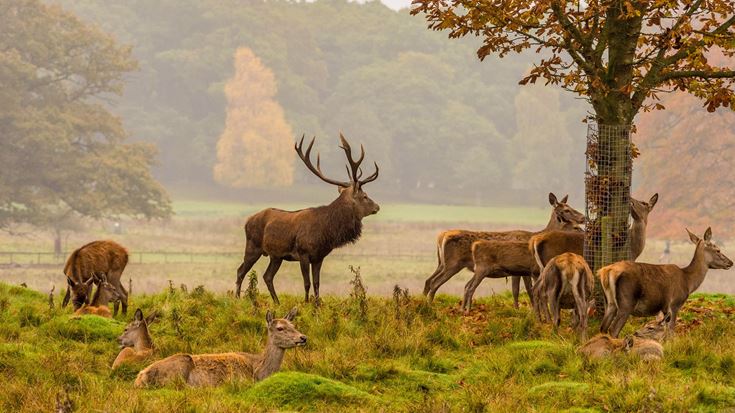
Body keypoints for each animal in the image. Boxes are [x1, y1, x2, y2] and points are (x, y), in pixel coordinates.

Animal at [134, 308, 306, 387]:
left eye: (293, 325)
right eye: (280, 328)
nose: (303, 337)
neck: (258, 371)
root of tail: (139, 377)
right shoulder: (240, 380)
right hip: (179, 368)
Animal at [234, 134, 379, 304]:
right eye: (365, 196)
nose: (377, 207)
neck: (326, 232)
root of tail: (247, 221)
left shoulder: (319, 257)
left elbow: (317, 283)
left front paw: (317, 304)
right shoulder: (303, 253)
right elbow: (307, 282)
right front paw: (306, 303)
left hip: (276, 256)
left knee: (267, 276)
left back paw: (277, 302)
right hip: (253, 246)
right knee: (241, 270)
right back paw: (236, 298)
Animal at [424, 193, 585, 307]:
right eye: (567, 210)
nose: (583, 218)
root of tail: (441, 236)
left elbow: (519, 290)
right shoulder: (526, 269)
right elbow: (524, 291)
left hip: (442, 263)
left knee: (428, 280)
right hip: (453, 264)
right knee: (435, 283)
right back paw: (430, 306)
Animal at [599, 227, 732, 337]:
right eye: (718, 250)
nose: (730, 262)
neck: (688, 281)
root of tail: (607, 271)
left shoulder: (664, 308)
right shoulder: (675, 304)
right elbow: (671, 331)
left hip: (610, 303)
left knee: (603, 328)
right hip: (627, 302)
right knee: (613, 330)